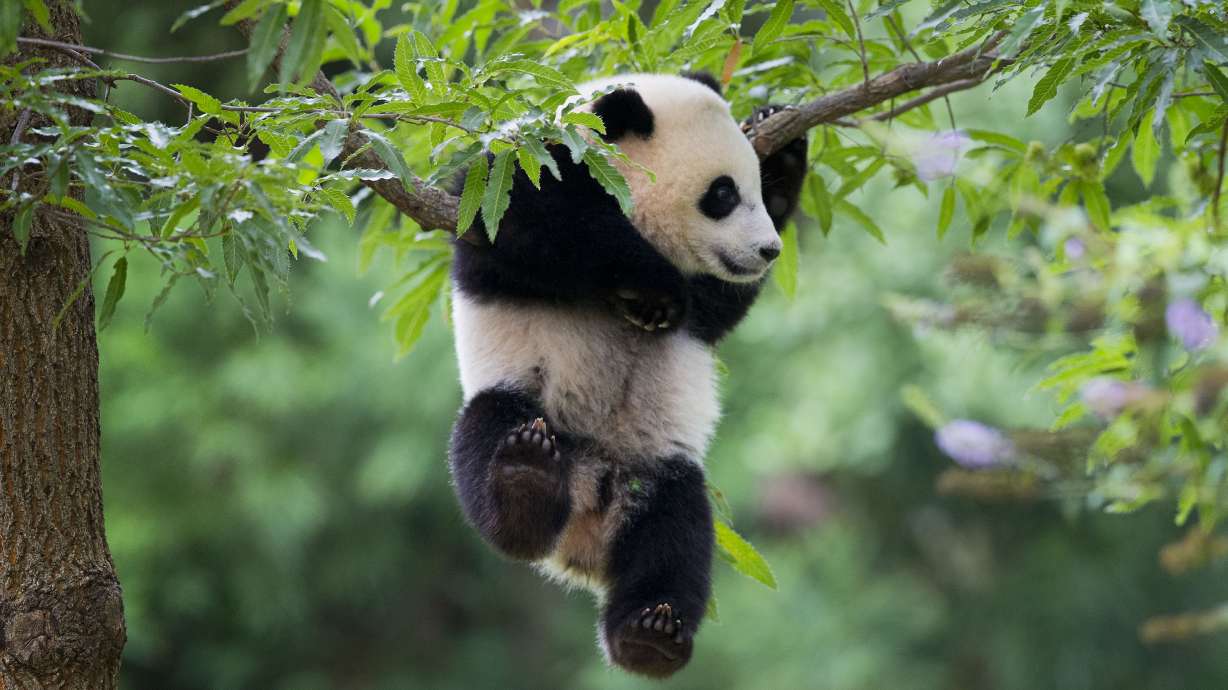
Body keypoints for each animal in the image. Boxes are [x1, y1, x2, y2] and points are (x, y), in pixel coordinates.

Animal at [447, 72, 807, 678]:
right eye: (722, 195)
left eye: (755, 188)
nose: (767, 250)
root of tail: (582, 527)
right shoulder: (521, 165)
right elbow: (530, 220)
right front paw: (656, 287)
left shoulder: (710, 302)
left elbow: (716, 306)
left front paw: (781, 140)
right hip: (517, 397)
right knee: (486, 434)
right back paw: (524, 484)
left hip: (655, 467)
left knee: (675, 535)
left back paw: (650, 634)